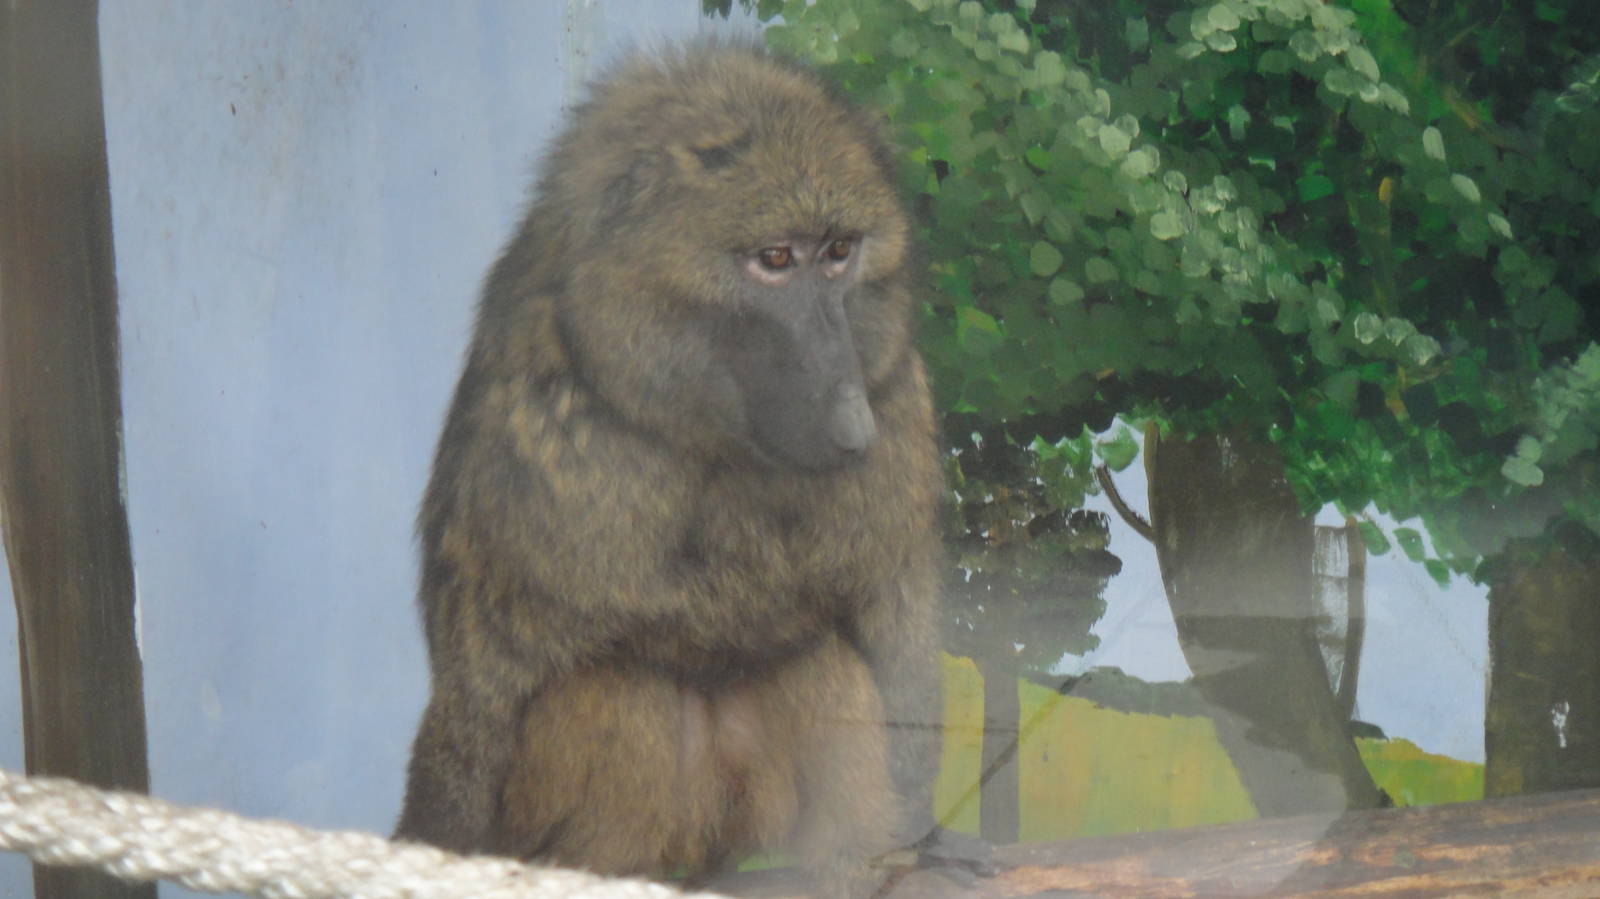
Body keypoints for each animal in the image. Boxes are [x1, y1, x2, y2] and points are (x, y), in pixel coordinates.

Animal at [394, 41, 959, 895]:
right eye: (773, 259)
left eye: (838, 252)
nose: (851, 421)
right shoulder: (564, 433)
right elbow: (496, 680)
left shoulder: (899, 394)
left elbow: (888, 629)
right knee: (626, 685)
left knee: (809, 657)